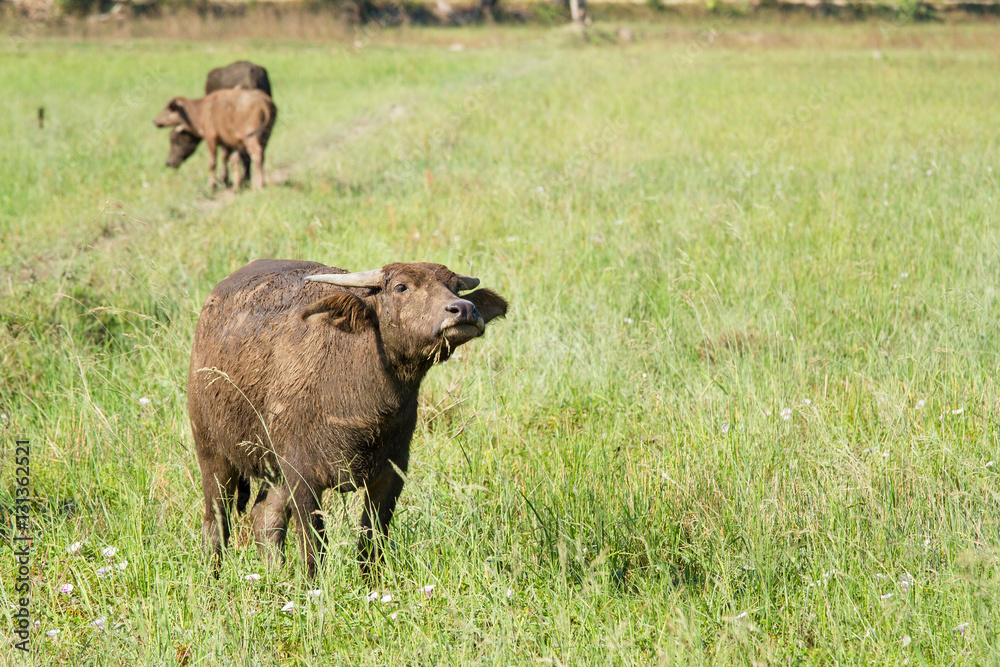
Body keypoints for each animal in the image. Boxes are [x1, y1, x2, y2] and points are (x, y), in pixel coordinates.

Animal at [186, 258, 508, 576]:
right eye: (401, 287)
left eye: (455, 287)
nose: (463, 309)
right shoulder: (301, 474)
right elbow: (314, 544)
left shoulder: (392, 471)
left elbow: (372, 539)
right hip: (211, 451)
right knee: (216, 521)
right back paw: (213, 576)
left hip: (272, 468)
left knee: (264, 517)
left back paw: (276, 577)